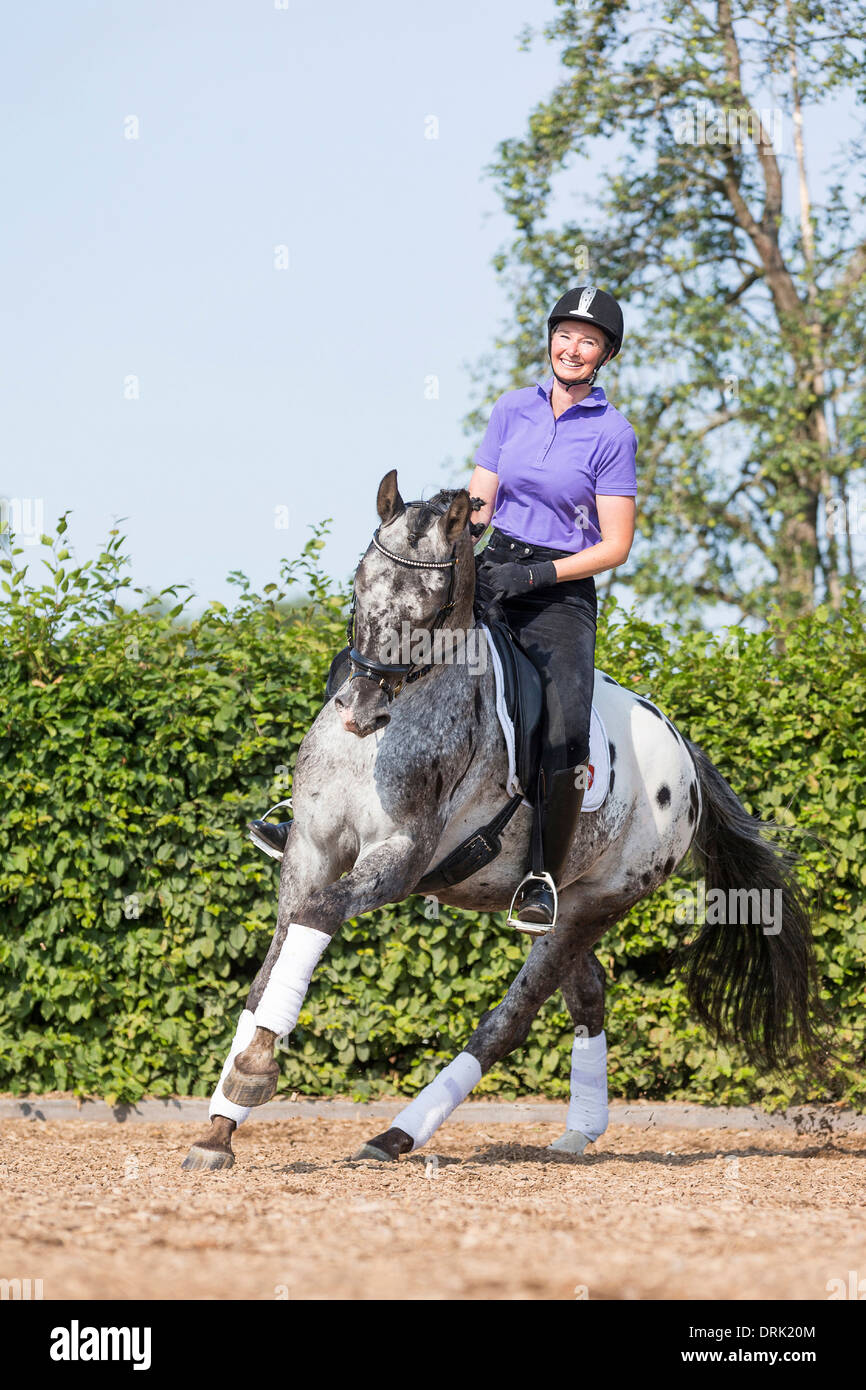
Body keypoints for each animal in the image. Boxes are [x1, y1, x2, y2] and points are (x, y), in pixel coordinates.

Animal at [181, 470, 820, 1171]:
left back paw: (397, 1136)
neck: (384, 735)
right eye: (359, 582)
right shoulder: (309, 851)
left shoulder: (400, 859)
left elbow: (319, 916)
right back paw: (576, 1135)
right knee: (587, 992)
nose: (360, 708)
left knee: (511, 1018)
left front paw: (250, 1076)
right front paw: (219, 1127)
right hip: (566, 907)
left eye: (435, 607)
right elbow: (269, 972)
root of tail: (682, 752)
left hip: (601, 902)